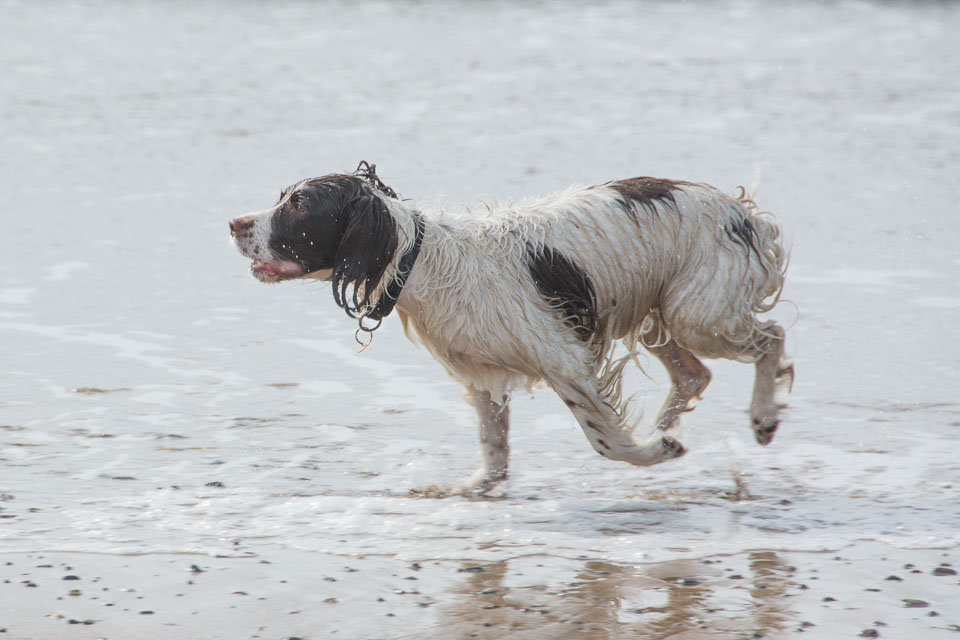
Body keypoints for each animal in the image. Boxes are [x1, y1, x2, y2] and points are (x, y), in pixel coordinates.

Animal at [229, 162, 792, 498]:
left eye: (300, 205)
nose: (234, 224)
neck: (423, 261)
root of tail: (744, 212)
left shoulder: (564, 359)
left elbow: (606, 441)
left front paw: (652, 453)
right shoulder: (481, 374)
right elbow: (493, 445)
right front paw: (473, 487)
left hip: (698, 314)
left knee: (771, 338)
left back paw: (761, 417)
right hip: (660, 318)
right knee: (694, 375)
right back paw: (667, 425)